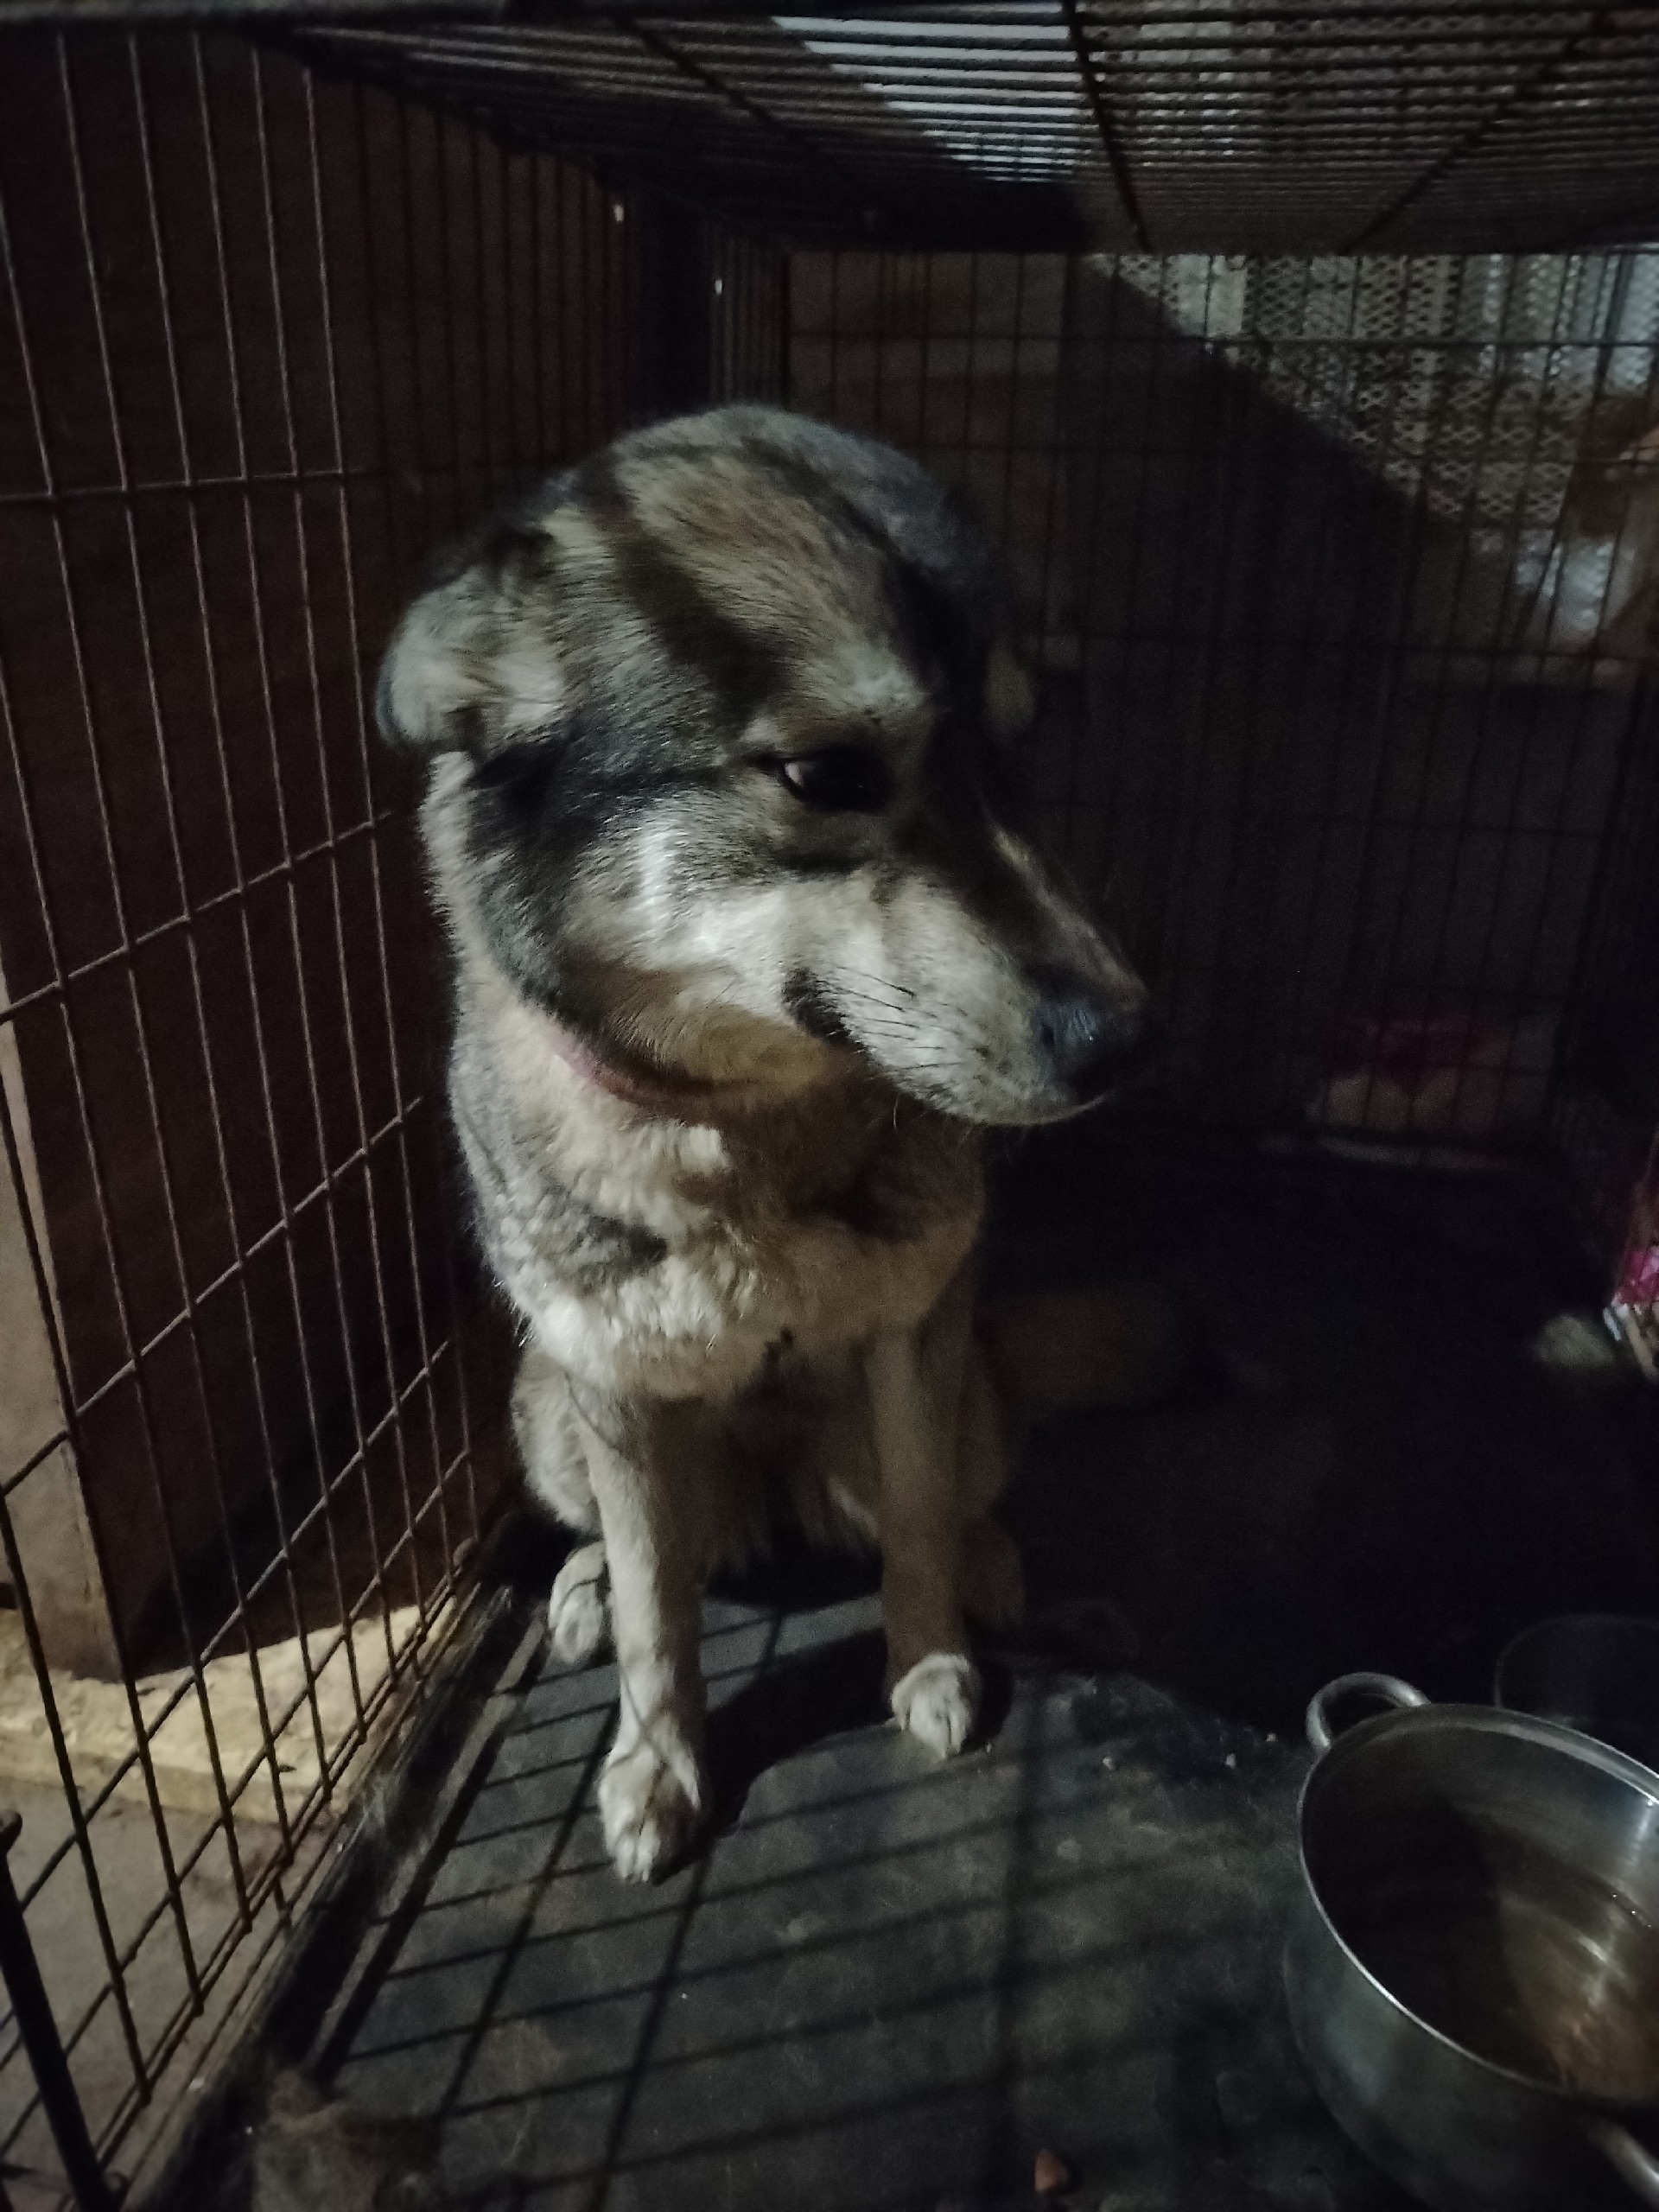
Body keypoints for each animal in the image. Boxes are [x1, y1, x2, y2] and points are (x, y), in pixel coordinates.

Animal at [377, 406, 1156, 1882]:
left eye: (1016, 760)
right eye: (828, 774)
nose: (1126, 1043)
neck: (746, 1137)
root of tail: (775, 1498)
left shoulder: (916, 1337)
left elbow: (917, 1527)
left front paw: (928, 1665)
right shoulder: (611, 1382)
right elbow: (657, 1619)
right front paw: (658, 1764)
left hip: (959, 1400)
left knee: (951, 1499)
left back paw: (990, 1566)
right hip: (544, 1411)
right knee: (631, 1556)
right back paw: (580, 1584)